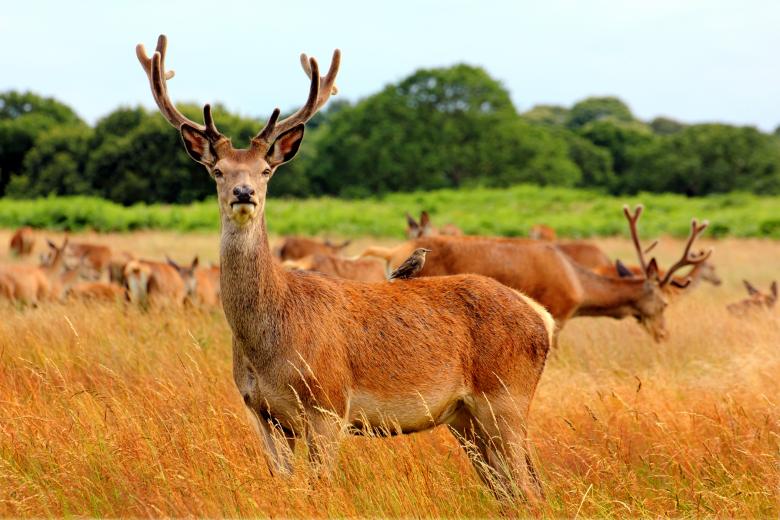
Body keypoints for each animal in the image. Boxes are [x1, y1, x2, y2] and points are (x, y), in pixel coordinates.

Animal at [136, 34, 555, 501]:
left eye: (265, 170)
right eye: (218, 170)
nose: (244, 193)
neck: (268, 344)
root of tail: (542, 318)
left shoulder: (329, 405)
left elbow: (320, 487)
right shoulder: (261, 413)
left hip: (507, 397)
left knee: (530, 489)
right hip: (465, 418)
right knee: (511, 489)